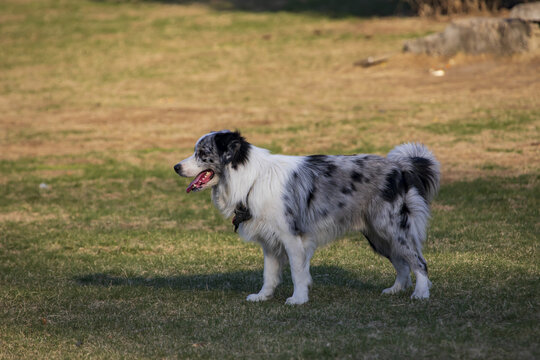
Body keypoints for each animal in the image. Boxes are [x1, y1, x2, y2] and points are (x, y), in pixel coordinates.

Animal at [175, 129, 440, 304]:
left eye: (202, 153)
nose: (176, 167)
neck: (250, 179)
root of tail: (400, 168)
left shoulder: (292, 237)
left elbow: (297, 272)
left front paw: (298, 299)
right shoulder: (269, 241)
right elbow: (269, 274)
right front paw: (263, 296)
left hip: (391, 227)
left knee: (418, 261)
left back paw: (421, 294)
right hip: (378, 235)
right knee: (402, 263)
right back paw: (396, 290)